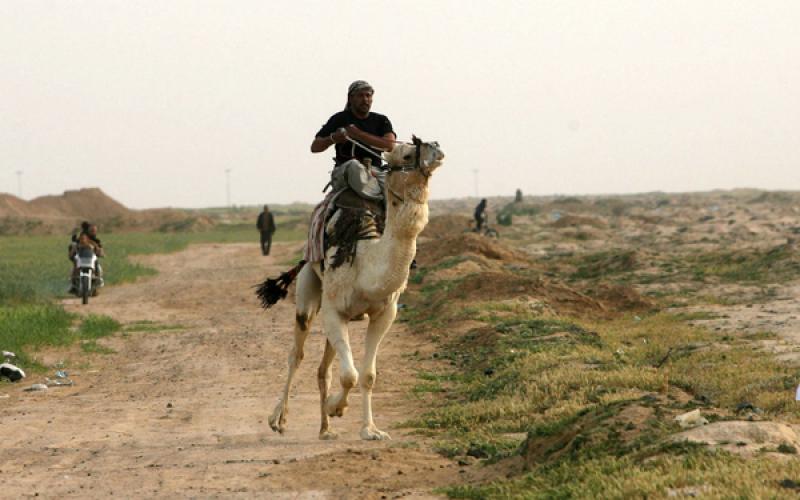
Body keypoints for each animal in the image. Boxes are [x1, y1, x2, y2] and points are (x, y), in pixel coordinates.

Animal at [260, 139, 444, 440]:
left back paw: (325, 429)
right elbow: (350, 374)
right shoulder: (334, 310)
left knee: (324, 368)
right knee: (296, 354)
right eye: (406, 154)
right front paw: (336, 407)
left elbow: (367, 375)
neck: (366, 259)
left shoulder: (385, 313)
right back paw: (279, 420)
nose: (436, 147)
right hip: (309, 286)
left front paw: (370, 430)